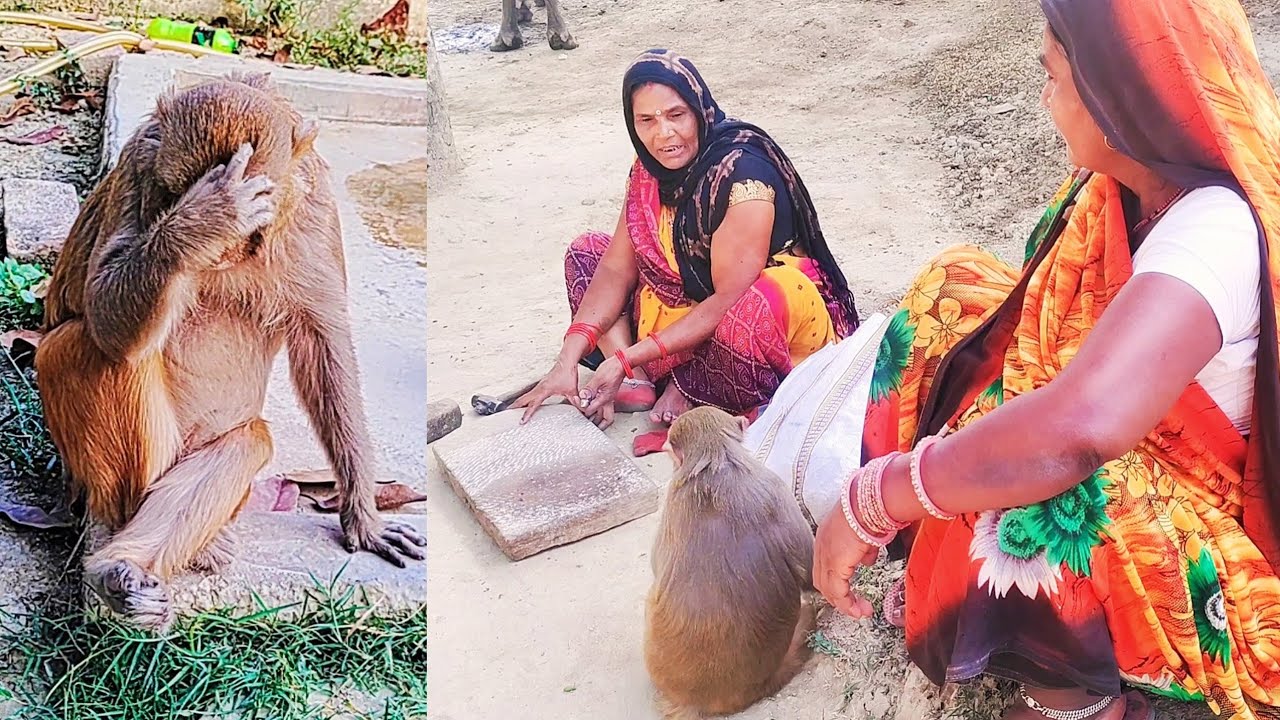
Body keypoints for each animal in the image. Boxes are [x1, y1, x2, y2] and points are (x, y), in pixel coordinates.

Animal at [34, 73, 426, 631]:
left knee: (249, 440)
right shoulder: (137, 171)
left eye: (255, 228)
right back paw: (127, 559)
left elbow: (323, 344)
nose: (218, 253)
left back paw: (134, 564)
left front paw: (364, 517)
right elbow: (105, 319)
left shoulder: (316, 204)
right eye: (176, 195)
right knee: (87, 346)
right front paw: (205, 219)